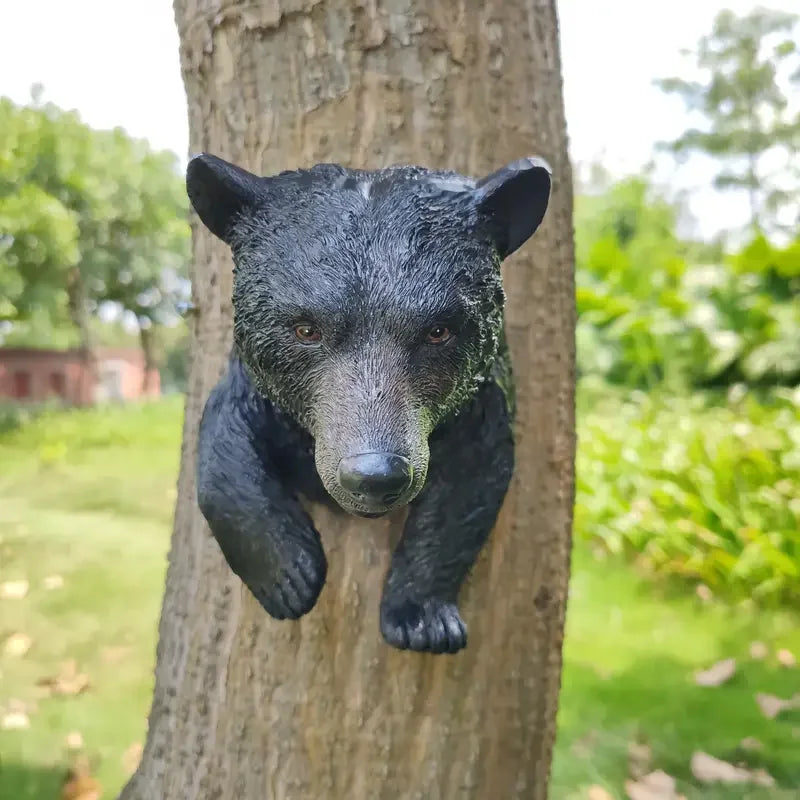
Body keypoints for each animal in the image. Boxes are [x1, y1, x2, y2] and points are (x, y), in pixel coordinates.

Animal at [186, 153, 551, 654]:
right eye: (305, 329)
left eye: (439, 330)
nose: (375, 475)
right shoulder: (252, 386)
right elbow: (224, 452)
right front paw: (291, 578)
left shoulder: (478, 402)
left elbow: (468, 492)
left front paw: (423, 620)